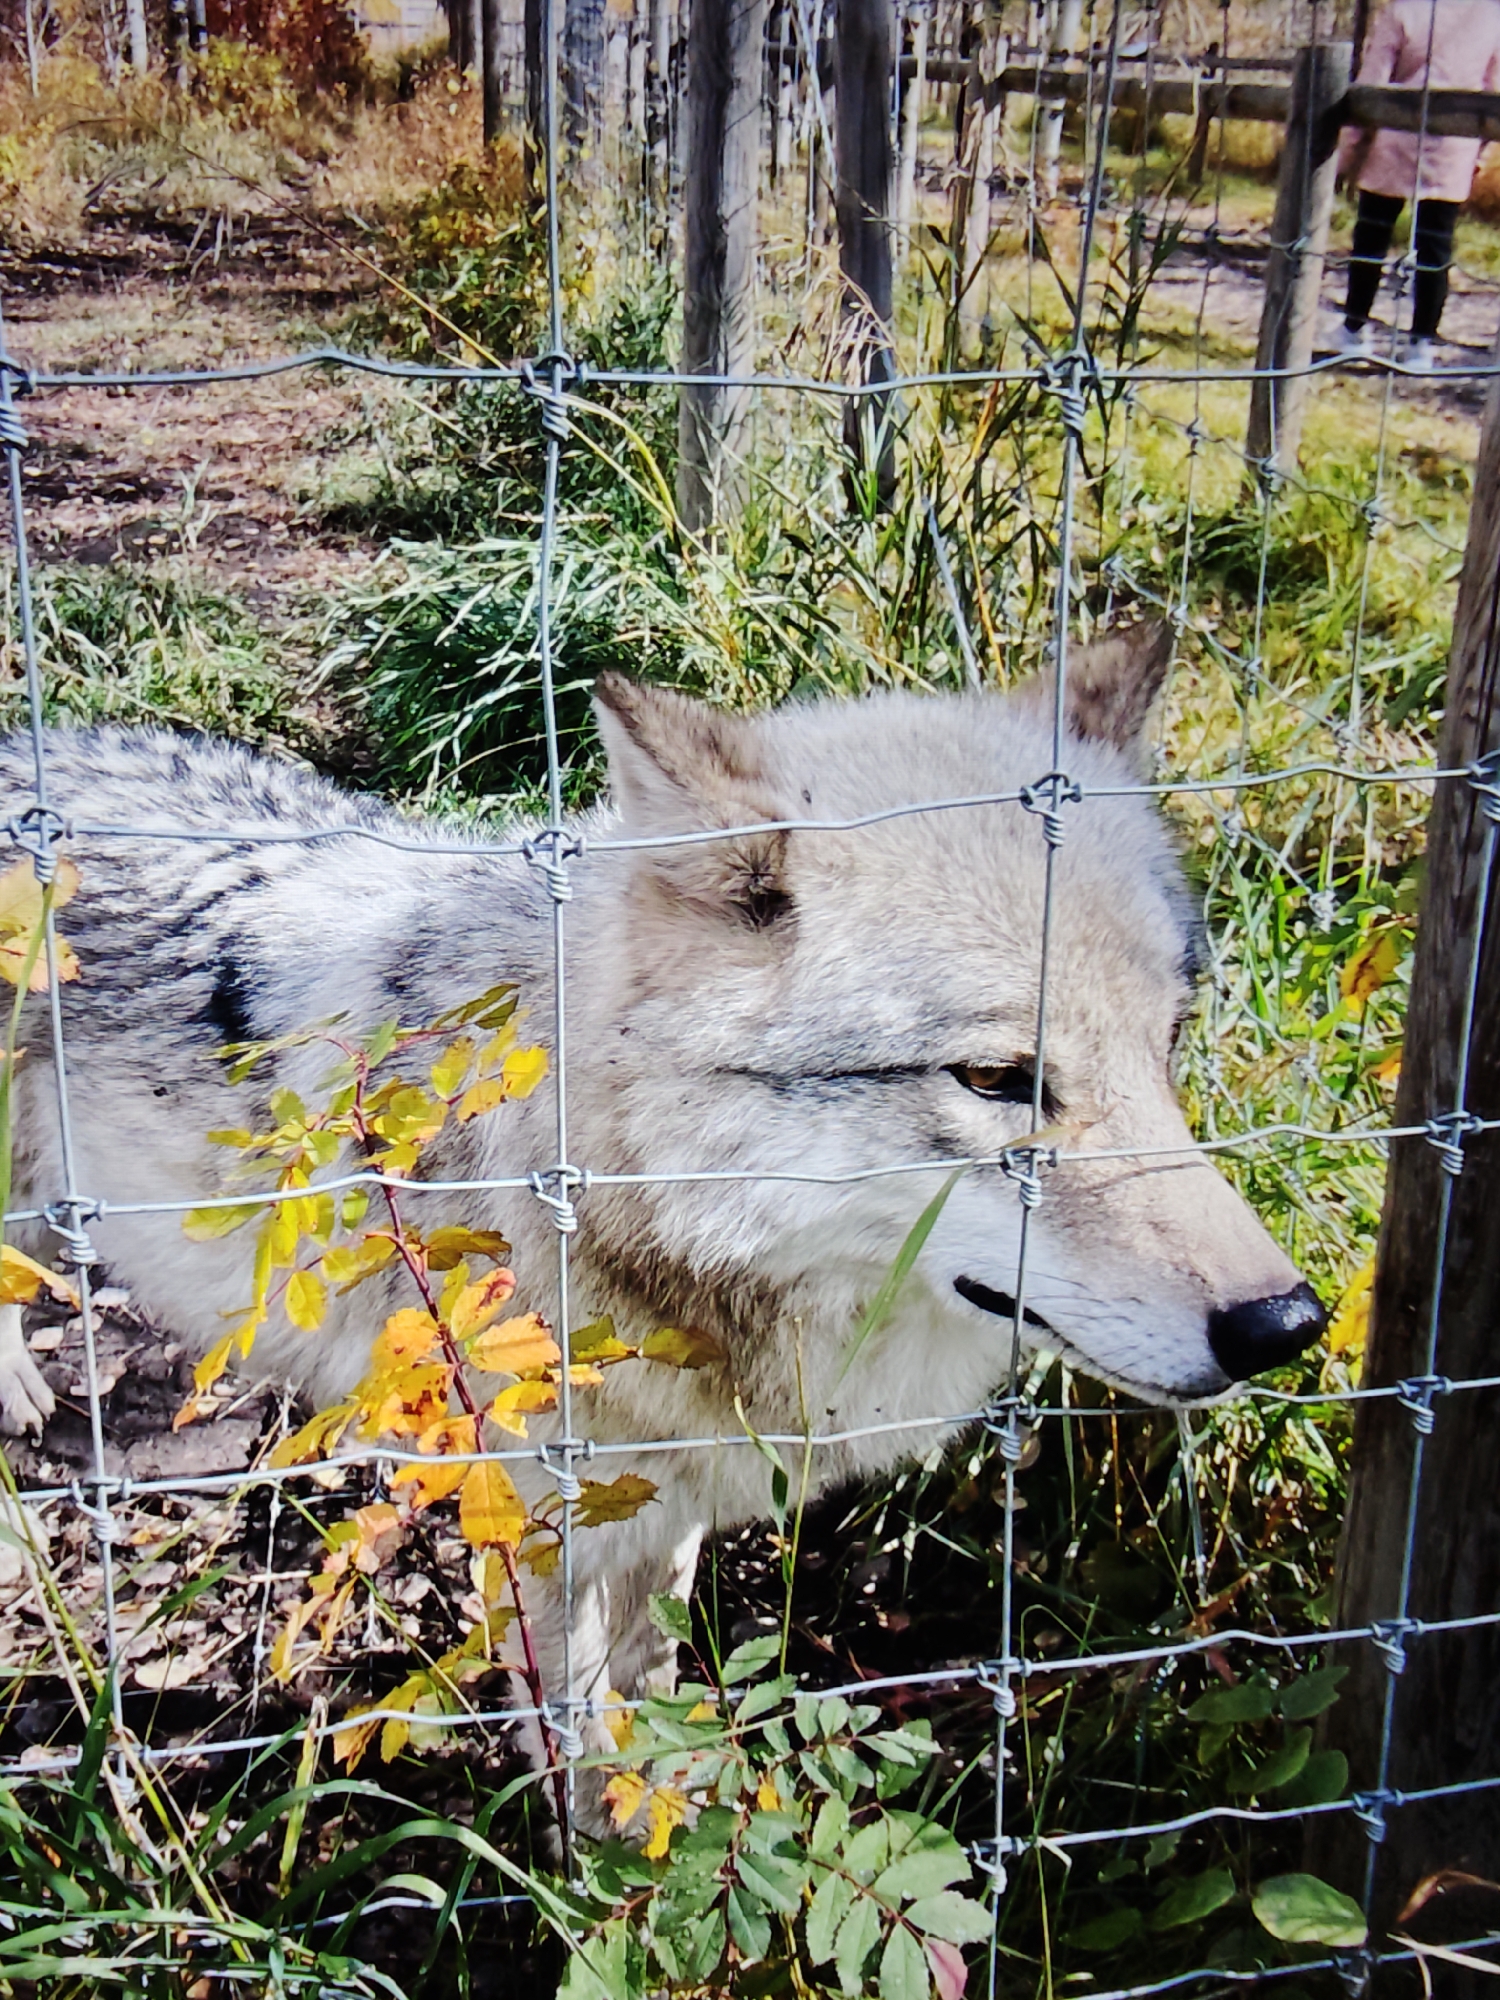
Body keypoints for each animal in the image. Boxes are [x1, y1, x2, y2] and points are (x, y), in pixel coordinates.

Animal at [0, 622, 1325, 1754]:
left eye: (1167, 1043)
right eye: (998, 1077)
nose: (1289, 1324)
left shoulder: (665, 1506)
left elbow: (653, 1682)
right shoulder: (545, 1530)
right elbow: (578, 1741)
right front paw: (595, 1872)